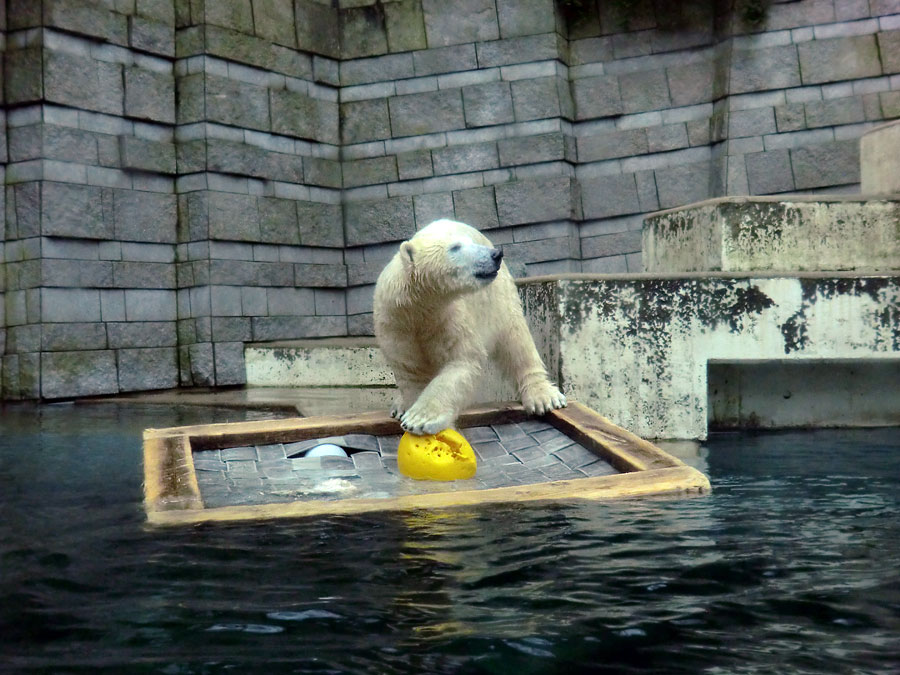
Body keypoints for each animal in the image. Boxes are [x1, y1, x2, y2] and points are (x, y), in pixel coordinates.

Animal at [370, 219, 568, 436]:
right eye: (455, 247)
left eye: (468, 242)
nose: (495, 255)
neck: (419, 305)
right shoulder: (396, 325)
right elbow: (413, 372)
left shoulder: (448, 317)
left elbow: (462, 361)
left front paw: (420, 419)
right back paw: (399, 406)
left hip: (499, 298)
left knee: (516, 340)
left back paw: (544, 396)